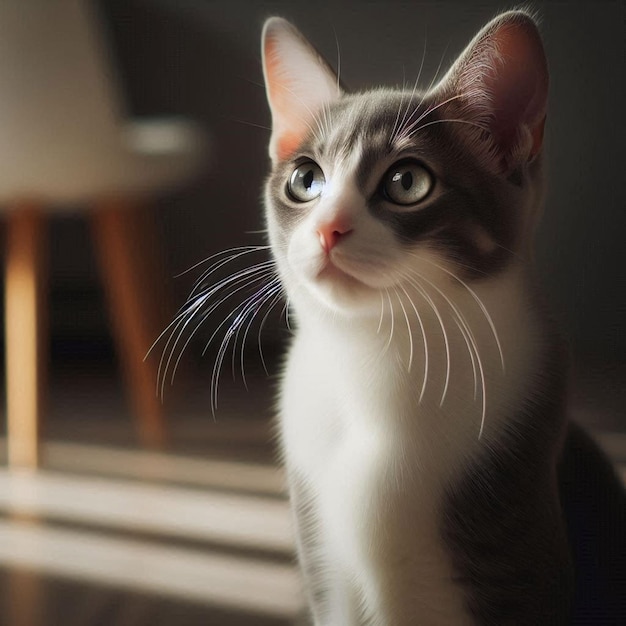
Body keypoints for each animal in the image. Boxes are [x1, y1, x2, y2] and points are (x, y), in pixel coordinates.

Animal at [255, 8, 624, 624]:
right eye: (305, 180)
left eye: (407, 181)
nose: (328, 228)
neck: (377, 357)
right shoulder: (324, 566)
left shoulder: (514, 560)